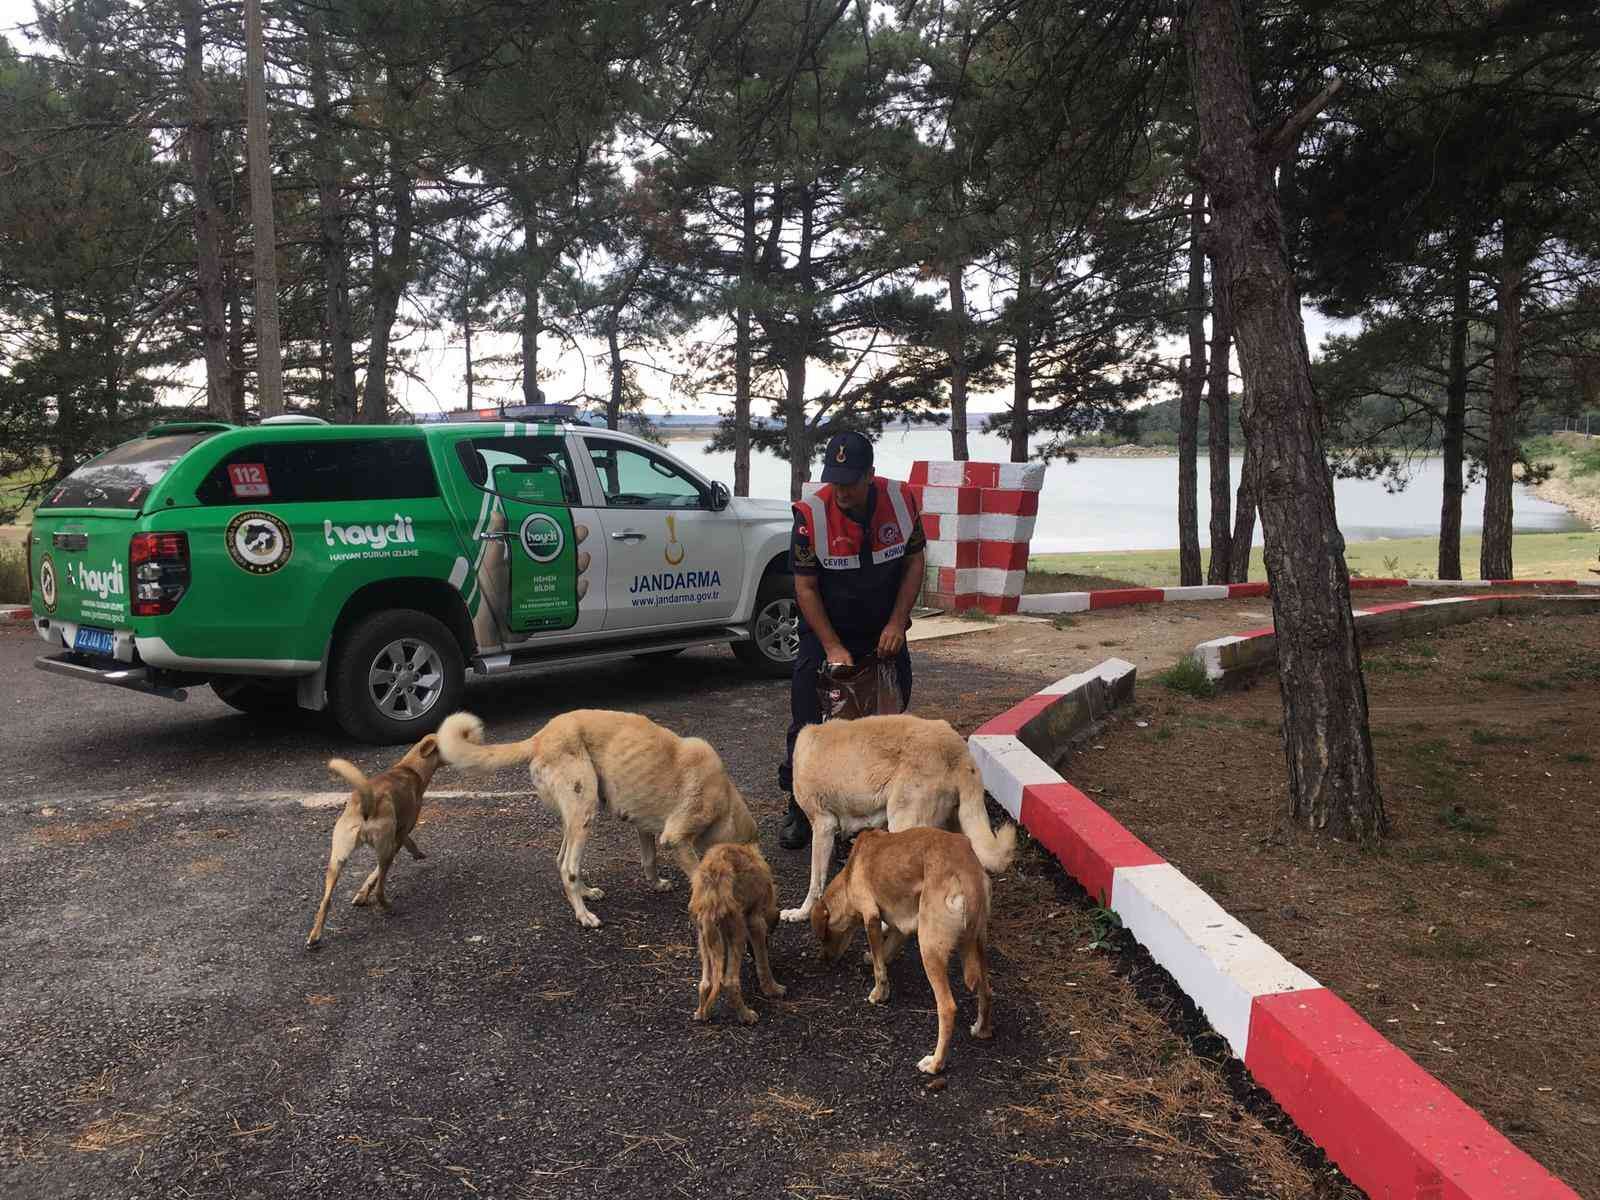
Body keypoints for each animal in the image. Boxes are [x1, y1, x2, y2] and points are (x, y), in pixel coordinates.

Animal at [305, 732, 441, 947]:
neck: (409, 768)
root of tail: (366, 805)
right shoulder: (399, 835)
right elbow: (377, 872)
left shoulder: (398, 835)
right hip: (384, 851)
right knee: (379, 890)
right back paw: (389, 907)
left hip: (336, 860)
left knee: (325, 901)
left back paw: (315, 936)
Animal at [435, 713, 758, 928]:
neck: (725, 800)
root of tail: (540, 737)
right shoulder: (676, 838)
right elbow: (697, 874)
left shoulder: (644, 827)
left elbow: (649, 860)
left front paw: (656, 884)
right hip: (584, 812)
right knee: (568, 867)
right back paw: (584, 915)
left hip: (574, 817)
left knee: (561, 860)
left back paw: (586, 893)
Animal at [688, 844, 787, 1024]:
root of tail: (711, 894)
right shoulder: (755, 922)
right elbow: (763, 964)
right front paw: (772, 989)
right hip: (738, 931)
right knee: (730, 982)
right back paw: (746, 1015)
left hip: (703, 937)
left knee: (705, 983)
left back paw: (702, 1013)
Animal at [780, 720, 1017, 928]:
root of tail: (959, 749)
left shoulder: (823, 826)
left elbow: (815, 881)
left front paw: (801, 913)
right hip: (952, 825)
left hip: (904, 823)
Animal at [812, 832, 985, 1075]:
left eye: (824, 937)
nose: (823, 959)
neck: (849, 873)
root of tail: (963, 868)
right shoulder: (902, 926)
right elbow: (885, 951)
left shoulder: (871, 916)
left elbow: (879, 968)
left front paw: (879, 994)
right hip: (978, 944)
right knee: (986, 990)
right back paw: (982, 1029)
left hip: (929, 949)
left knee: (947, 1008)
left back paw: (935, 1063)